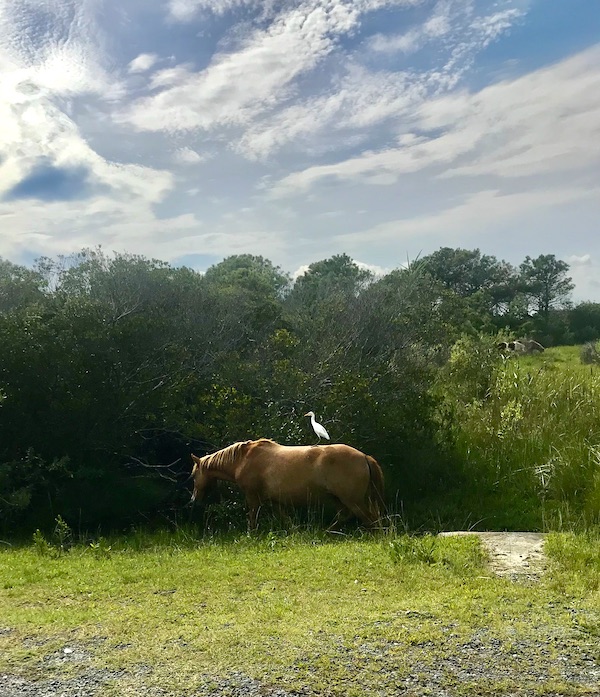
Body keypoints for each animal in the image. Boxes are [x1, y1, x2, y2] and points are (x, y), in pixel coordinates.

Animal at [190, 438, 385, 530]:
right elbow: (287, 520)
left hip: (352, 500)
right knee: (346, 516)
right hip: (338, 498)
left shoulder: (253, 497)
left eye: (193, 475)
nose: (193, 499)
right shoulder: (276, 501)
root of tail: (364, 457)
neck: (243, 459)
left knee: (370, 519)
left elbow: (252, 518)